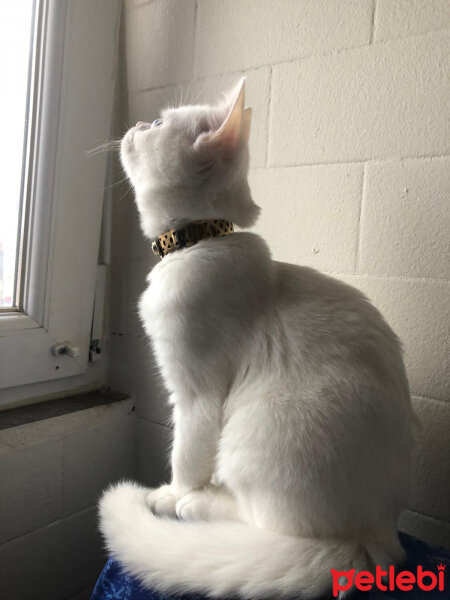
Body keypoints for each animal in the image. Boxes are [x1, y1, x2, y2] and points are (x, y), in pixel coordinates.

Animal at [100, 81, 414, 600]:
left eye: (160, 125)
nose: (138, 123)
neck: (201, 241)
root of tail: (373, 543)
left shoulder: (195, 394)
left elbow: (184, 455)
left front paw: (170, 493)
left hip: (251, 429)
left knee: (261, 522)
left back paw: (198, 504)